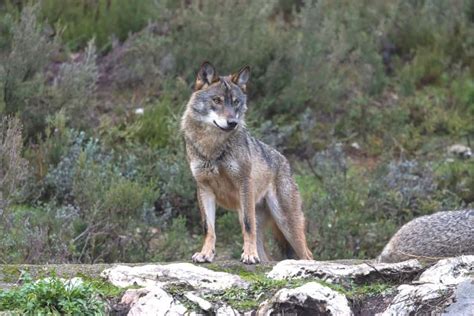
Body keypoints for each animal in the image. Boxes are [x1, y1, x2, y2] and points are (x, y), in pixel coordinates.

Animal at [181, 61, 314, 264]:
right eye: (217, 100)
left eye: (235, 102)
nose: (232, 123)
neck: (213, 148)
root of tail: (285, 161)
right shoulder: (204, 189)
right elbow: (208, 228)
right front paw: (205, 253)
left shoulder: (244, 184)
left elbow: (247, 225)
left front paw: (249, 255)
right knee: (267, 256)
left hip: (287, 224)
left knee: (308, 255)